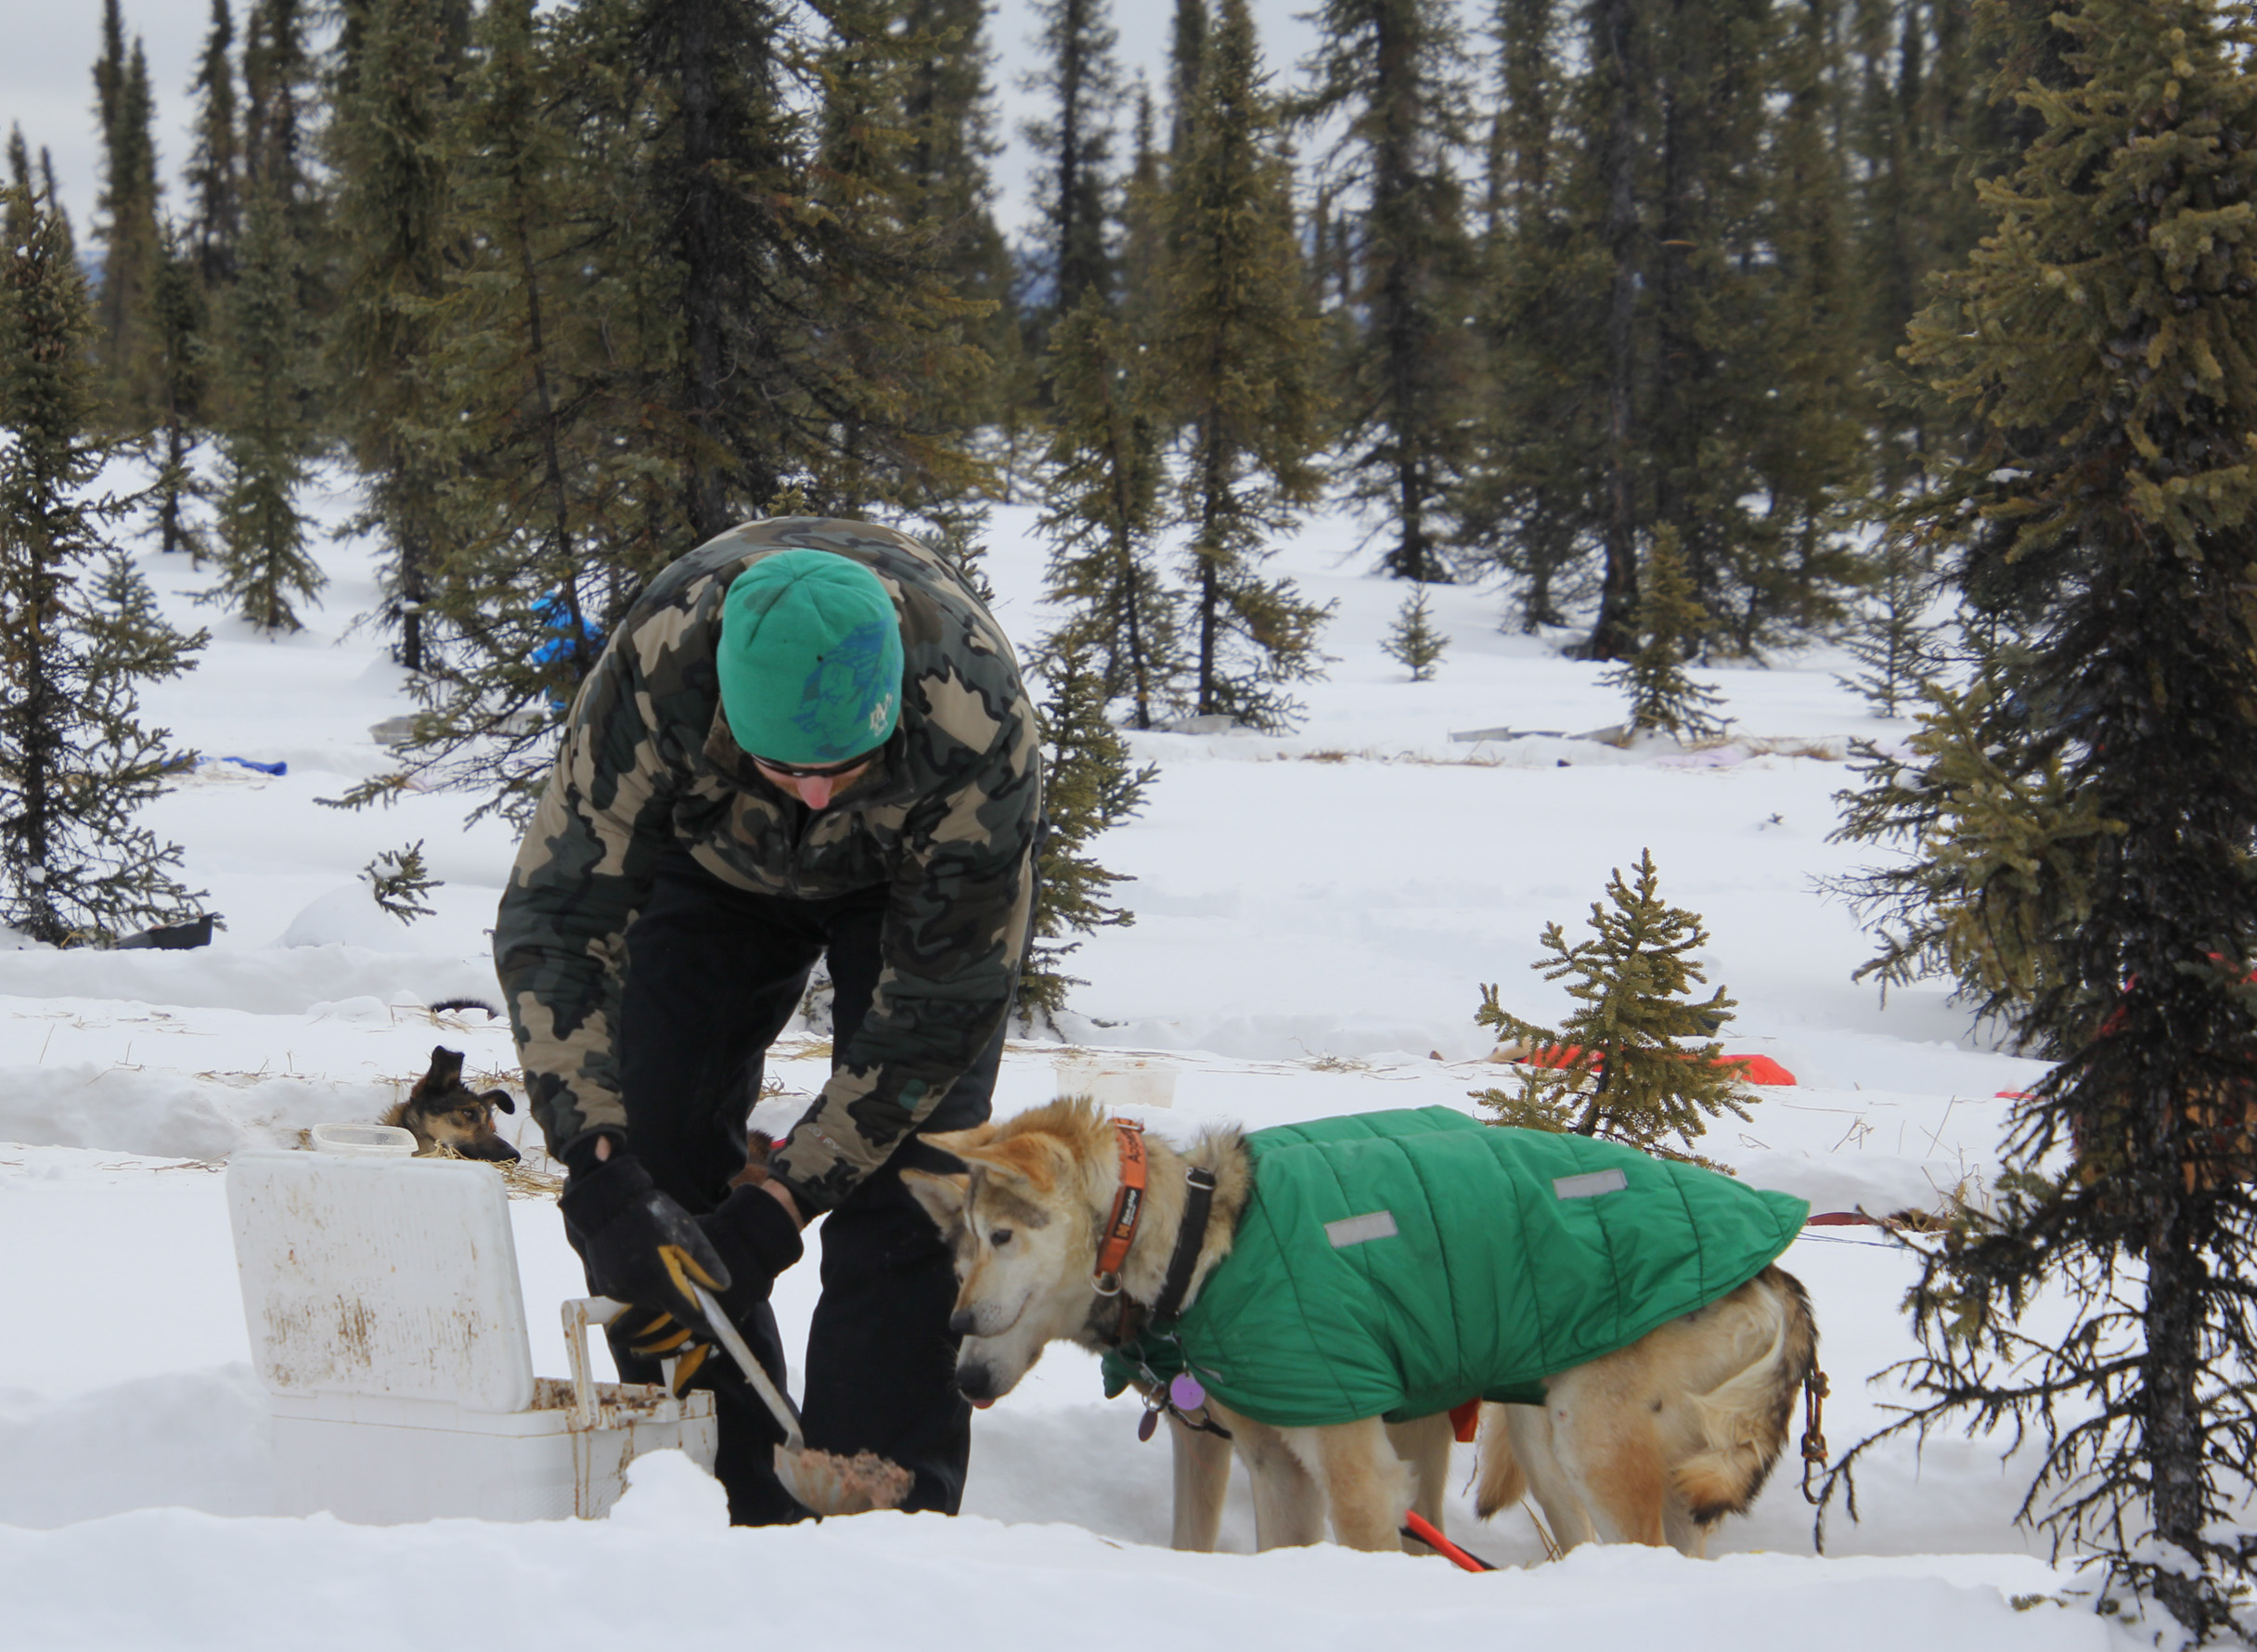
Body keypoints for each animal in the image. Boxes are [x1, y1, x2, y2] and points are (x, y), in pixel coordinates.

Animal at [897, 1101, 1814, 1553]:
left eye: (1003, 1238)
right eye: (960, 1254)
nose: (960, 1357)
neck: (1203, 1245)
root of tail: (1776, 1274)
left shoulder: (1356, 1472)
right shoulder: (1266, 1462)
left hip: (1585, 1440)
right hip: (1553, 1442)